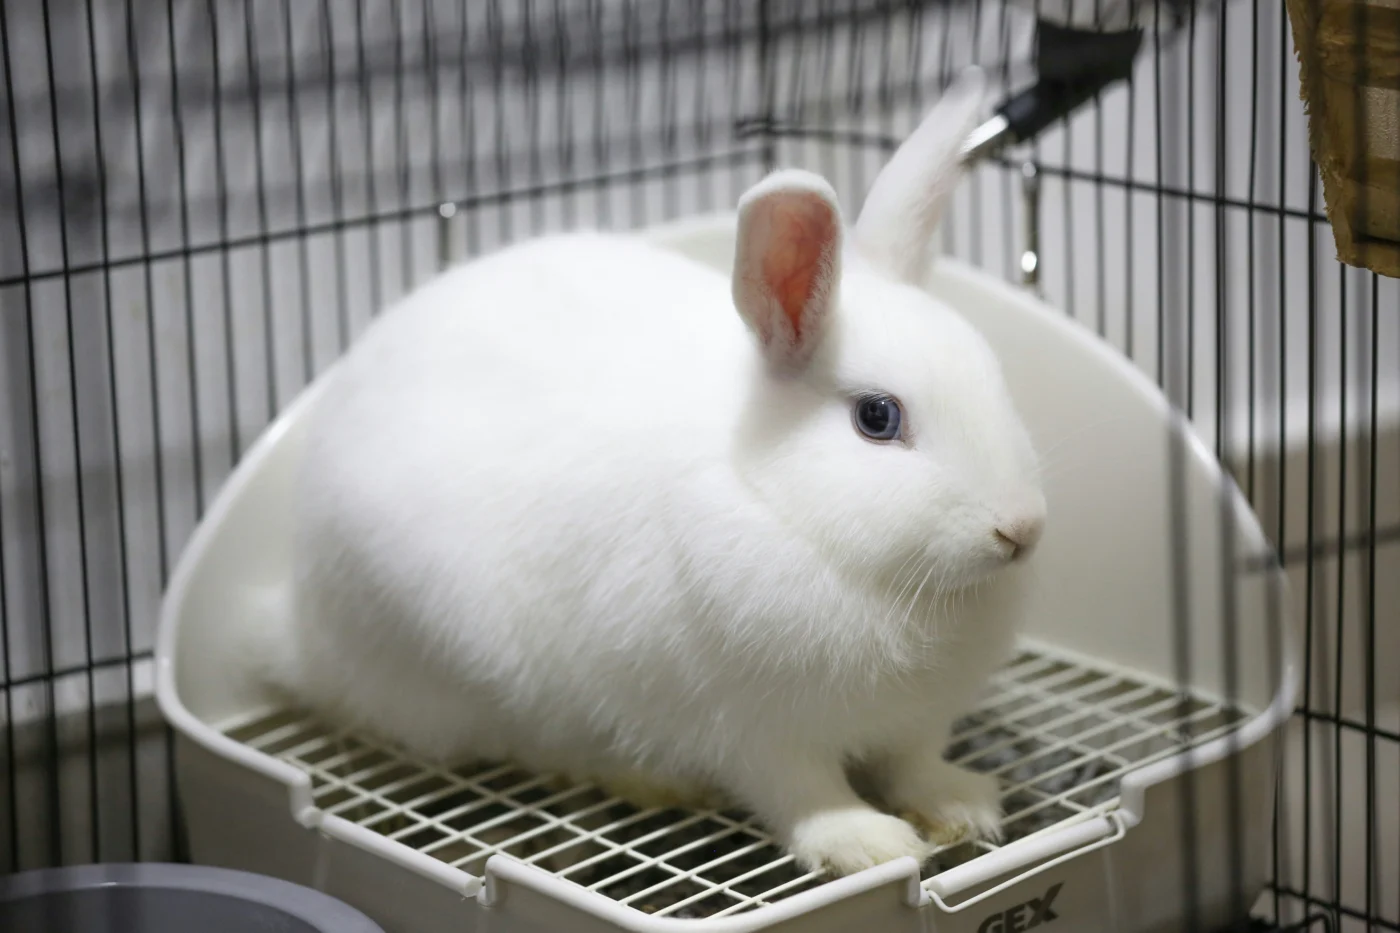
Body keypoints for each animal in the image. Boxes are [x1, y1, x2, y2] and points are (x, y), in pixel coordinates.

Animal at [250, 68, 1047, 878]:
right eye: (878, 418)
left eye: (993, 376)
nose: (1020, 529)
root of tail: (298, 630)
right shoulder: (750, 727)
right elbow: (803, 793)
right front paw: (864, 843)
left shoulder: (915, 720)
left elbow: (913, 764)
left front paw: (962, 806)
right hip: (463, 665)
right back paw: (646, 779)